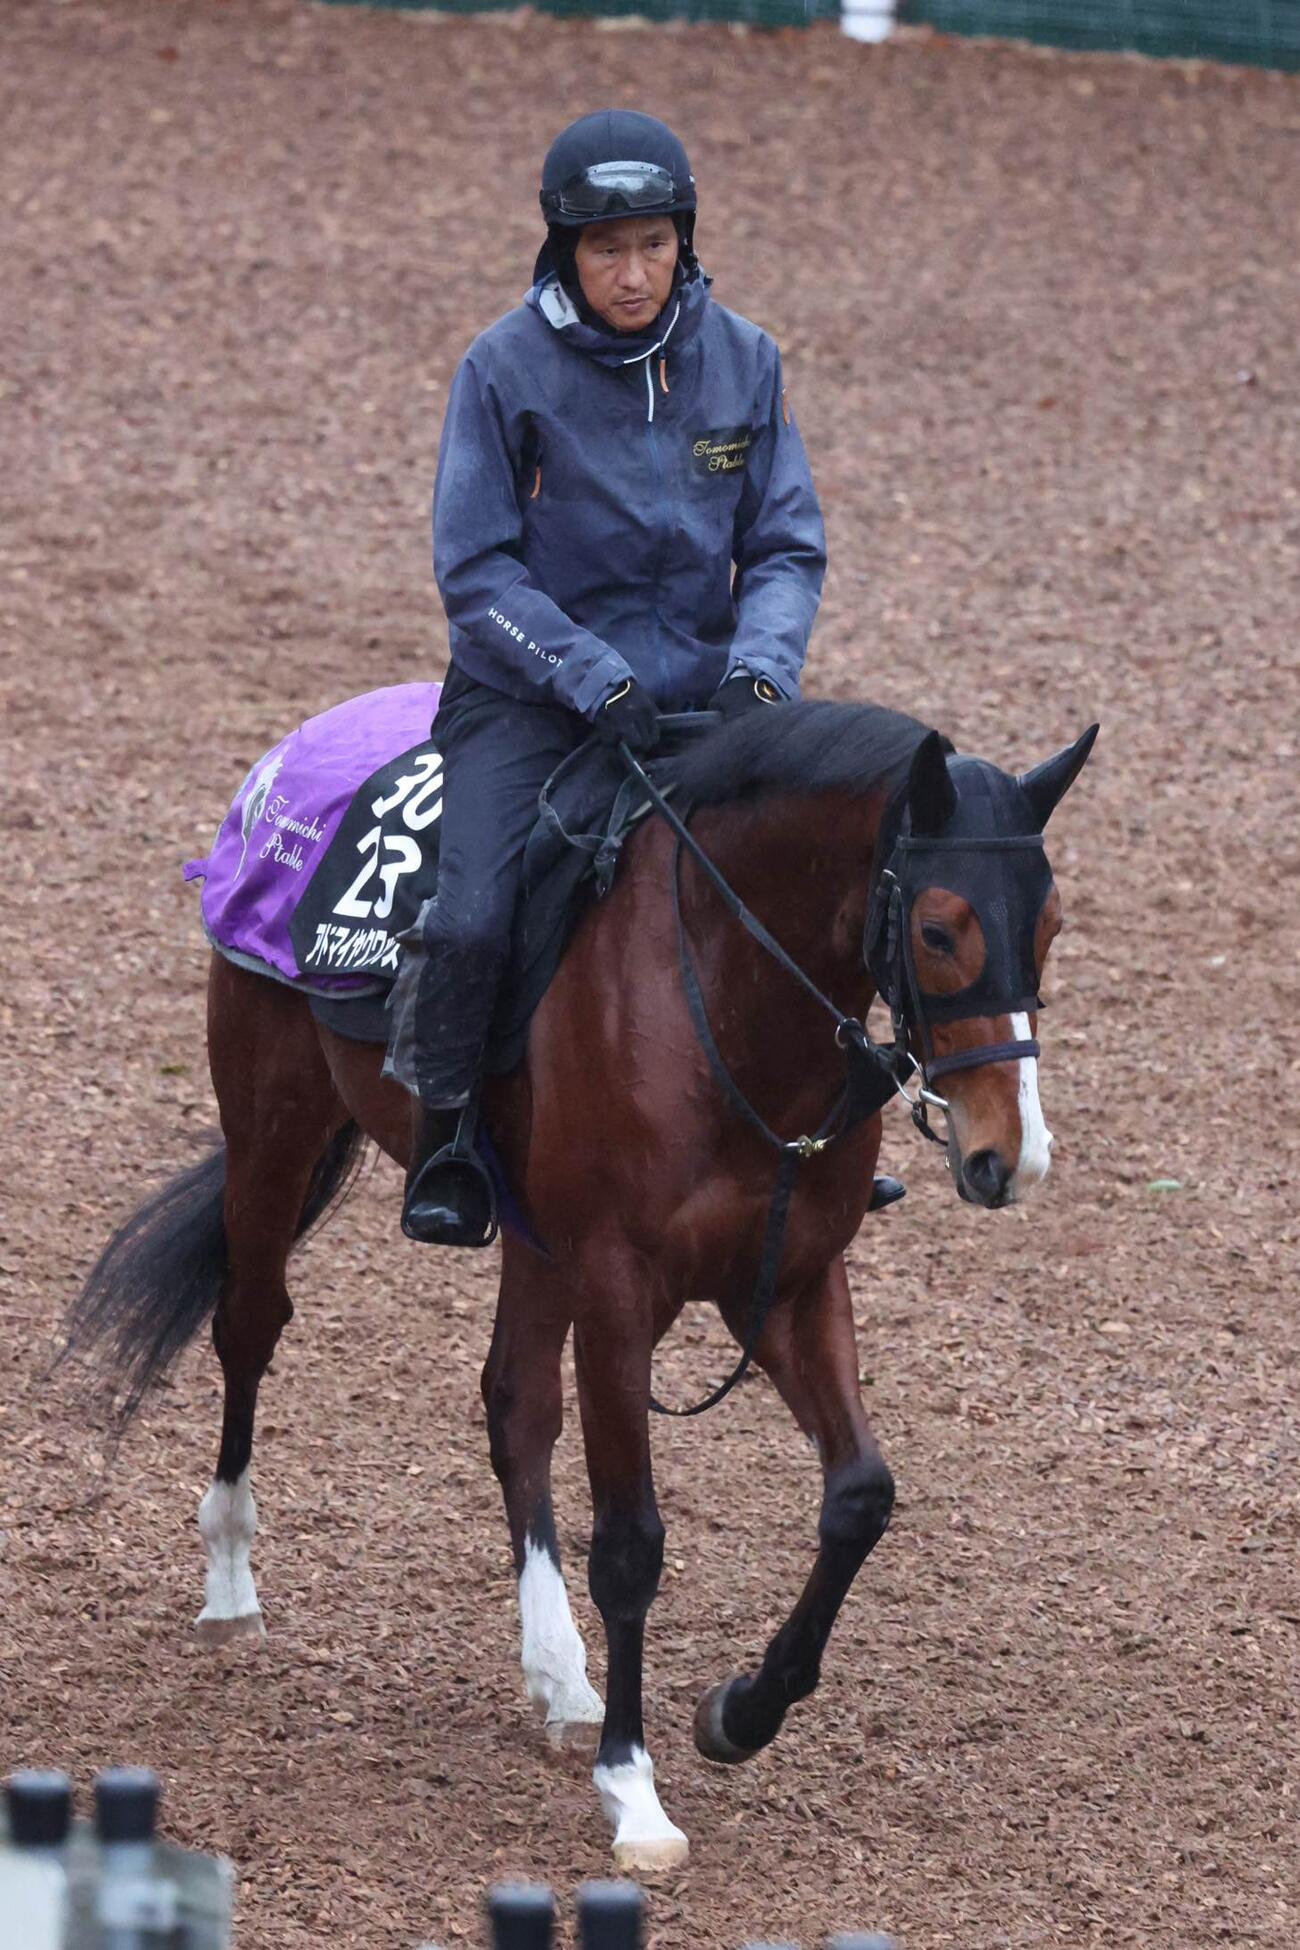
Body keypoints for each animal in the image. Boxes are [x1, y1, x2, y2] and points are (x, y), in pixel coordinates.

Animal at [66, 699, 1096, 1871]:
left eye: (1051, 925)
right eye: (937, 929)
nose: (1010, 1157)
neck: (723, 998)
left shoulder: (789, 1280)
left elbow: (859, 1498)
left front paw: (741, 1711)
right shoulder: (618, 1291)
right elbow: (633, 1543)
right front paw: (634, 1792)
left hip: (528, 1236)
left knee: (513, 1405)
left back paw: (560, 1678)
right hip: (274, 1128)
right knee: (250, 1323)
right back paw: (232, 1584)